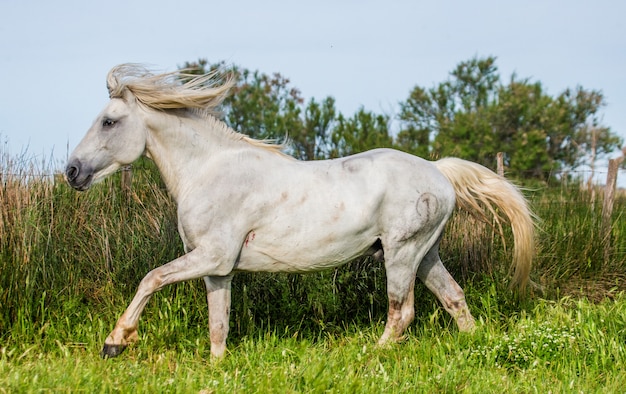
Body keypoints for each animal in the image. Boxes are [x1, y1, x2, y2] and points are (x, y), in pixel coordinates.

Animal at [66, 63, 532, 358]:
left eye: (109, 121)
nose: (72, 172)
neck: (208, 170)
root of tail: (438, 170)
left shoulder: (210, 256)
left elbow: (151, 278)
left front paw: (115, 341)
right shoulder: (218, 267)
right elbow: (219, 325)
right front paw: (216, 367)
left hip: (401, 254)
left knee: (402, 313)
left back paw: (369, 355)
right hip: (425, 253)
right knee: (454, 299)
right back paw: (476, 346)